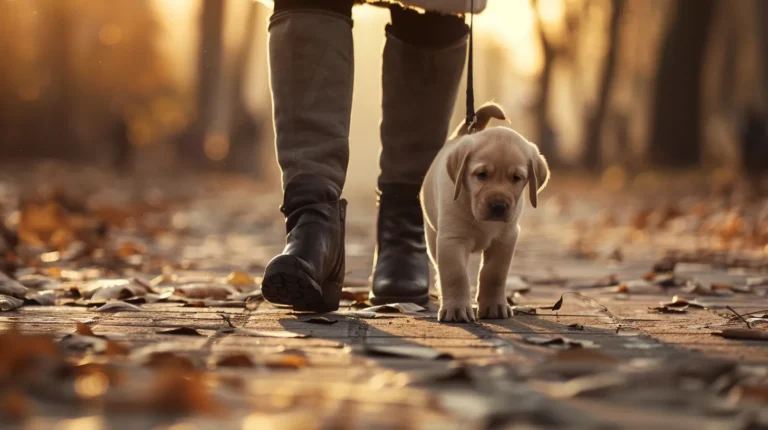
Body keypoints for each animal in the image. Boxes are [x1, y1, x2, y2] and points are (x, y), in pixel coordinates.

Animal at [424, 102, 548, 320]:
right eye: (481, 174)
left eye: (516, 178)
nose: (498, 206)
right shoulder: (451, 239)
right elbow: (455, 275)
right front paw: (456, 309)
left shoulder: (505, 239)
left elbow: (494, 274)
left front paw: (494, 306)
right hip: (432, 236)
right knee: (441, 267)